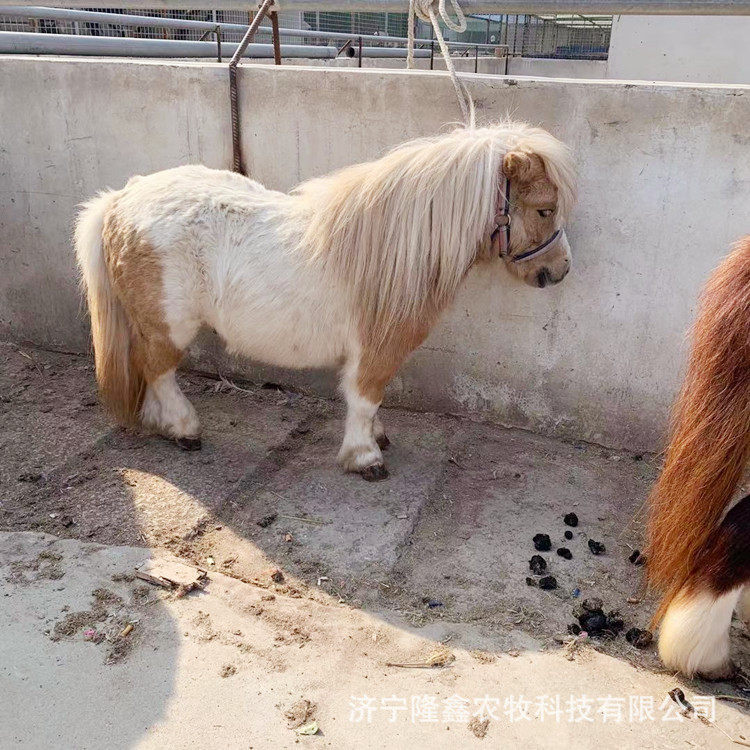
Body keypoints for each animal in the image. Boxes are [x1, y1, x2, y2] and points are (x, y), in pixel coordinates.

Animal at [75, 122, 576, 480]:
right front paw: (364, 457)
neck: (399, 246)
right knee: (158, 370)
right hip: (170, 326)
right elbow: (366, 396)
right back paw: (183, 428)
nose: (560, 270)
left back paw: (158, 423)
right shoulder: (378, 349)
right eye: (544, 209)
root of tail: (122, 198)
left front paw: (376, 439)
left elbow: (370, 401)